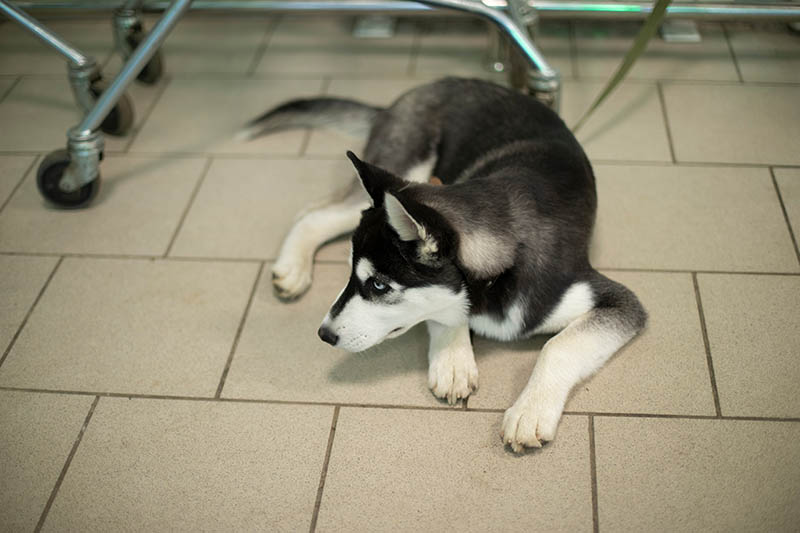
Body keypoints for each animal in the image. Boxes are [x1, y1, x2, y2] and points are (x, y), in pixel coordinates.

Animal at [242, 77, 644, 450]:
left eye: (379, 285)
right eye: (354, 276)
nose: (324, 334)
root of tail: (418, 90)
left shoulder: (618, 302)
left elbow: (558, 346)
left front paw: (529, 411)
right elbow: (443, 312)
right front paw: (453, 359)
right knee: (314, 213)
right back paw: (293, 268)